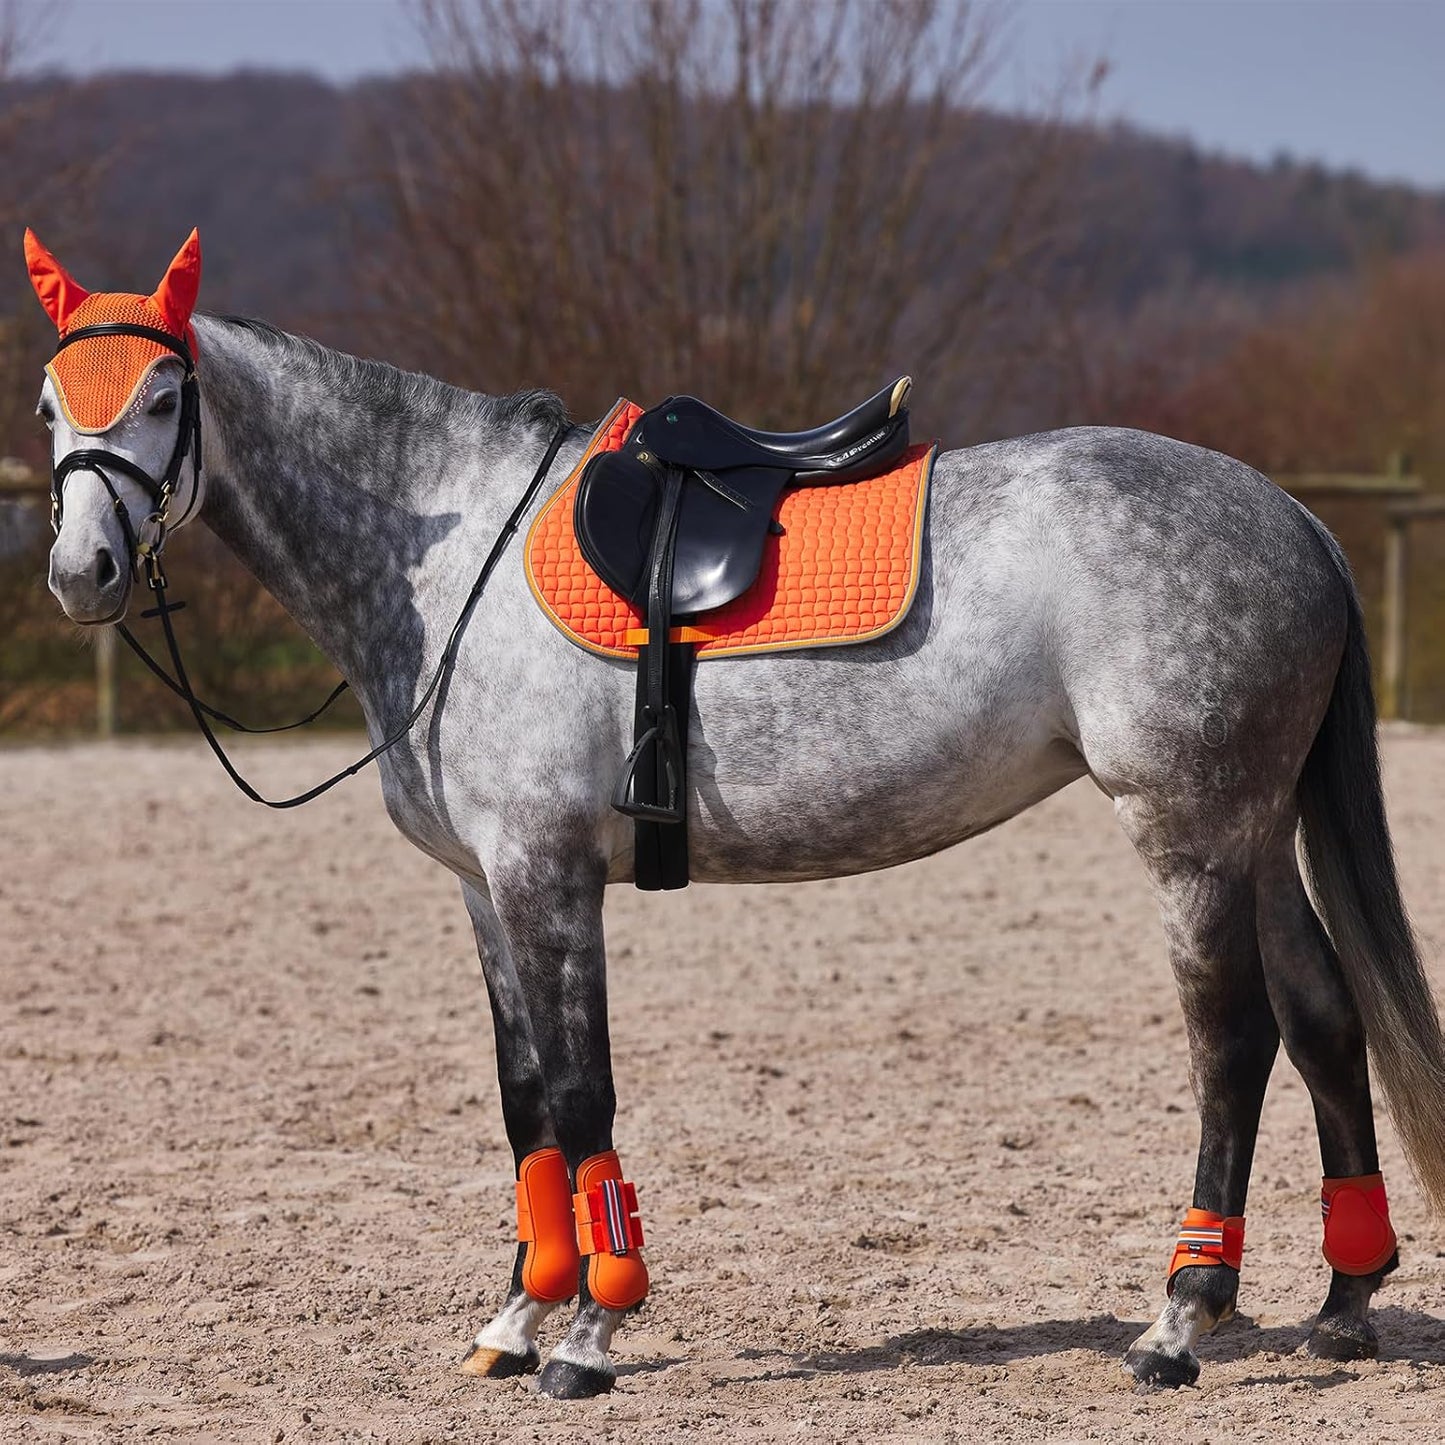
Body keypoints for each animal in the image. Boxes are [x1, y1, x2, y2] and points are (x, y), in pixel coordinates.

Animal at [30, 230, 1445, 1399]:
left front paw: (588, 1335)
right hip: (1253, 833)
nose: (80, 572)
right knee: (1322, 1019)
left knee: (1232, 1043)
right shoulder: (482, 887)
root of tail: (1293, 516)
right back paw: (1341, 1302)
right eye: (49, 404)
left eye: (163, 400)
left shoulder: (545, 875)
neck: (450, 562)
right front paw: (515, 1319)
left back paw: (1177, 1319)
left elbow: (583, 1094)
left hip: (1187, 834)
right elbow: (525, 1100)